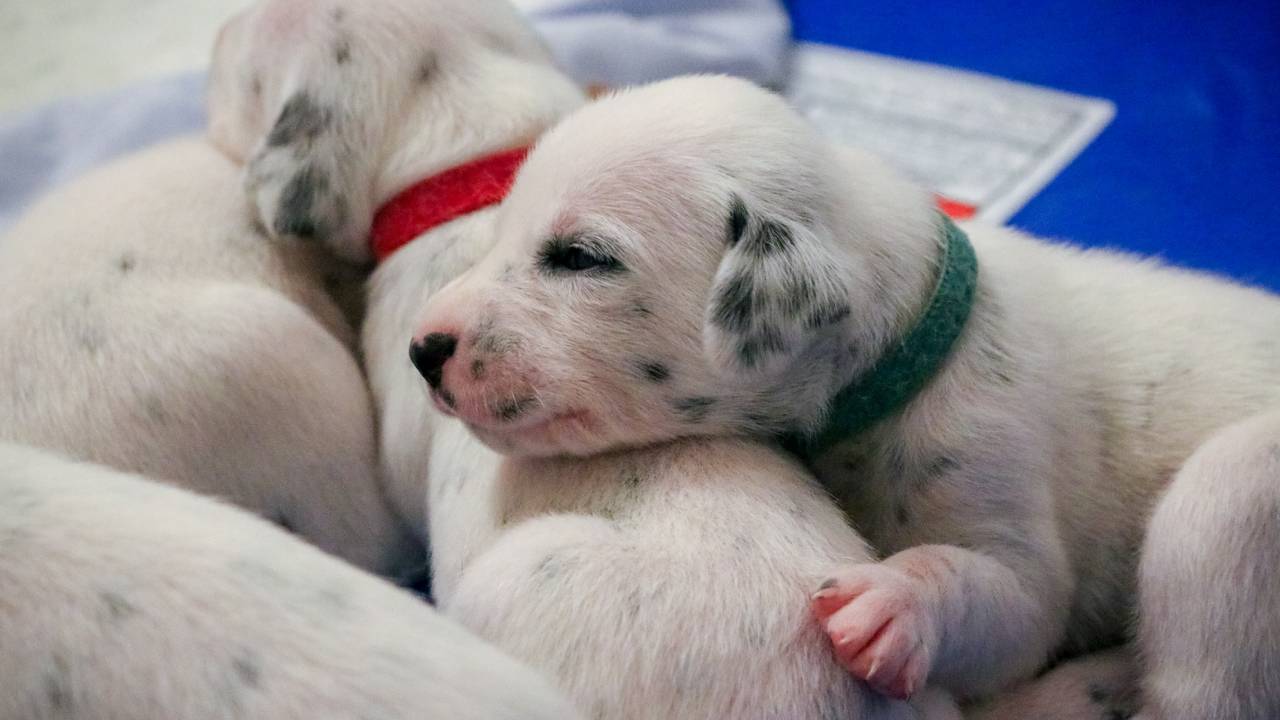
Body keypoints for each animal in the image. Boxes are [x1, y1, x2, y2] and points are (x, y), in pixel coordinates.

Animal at [409, 75, 1280, 712]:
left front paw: (896, 601)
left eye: (580, 257)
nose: (421, 349)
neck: (917, 343)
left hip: (1228, 500)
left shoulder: (1002, 485)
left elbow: (1009, 599)